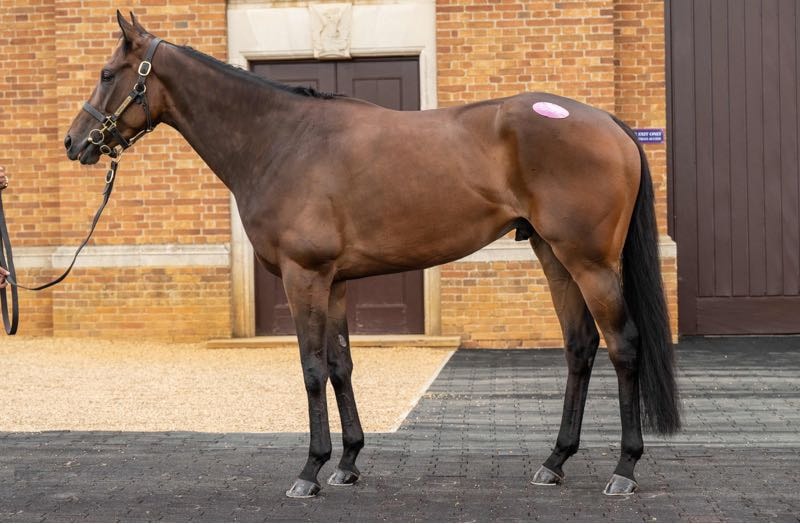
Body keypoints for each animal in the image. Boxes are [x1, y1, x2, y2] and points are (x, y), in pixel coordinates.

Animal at [64, 12, 680, 498]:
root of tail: (610, 123)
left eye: (107, 74)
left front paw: (310, 471)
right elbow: (341, 365)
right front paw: (348, 462)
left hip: (590, 263)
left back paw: (624, 469)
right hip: (555, 257)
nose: (74, 143)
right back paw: (554, 461)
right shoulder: (334, 281)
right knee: (580, 347)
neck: (281, 140)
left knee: (623, 346)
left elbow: (312, 368)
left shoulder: (303, 277)